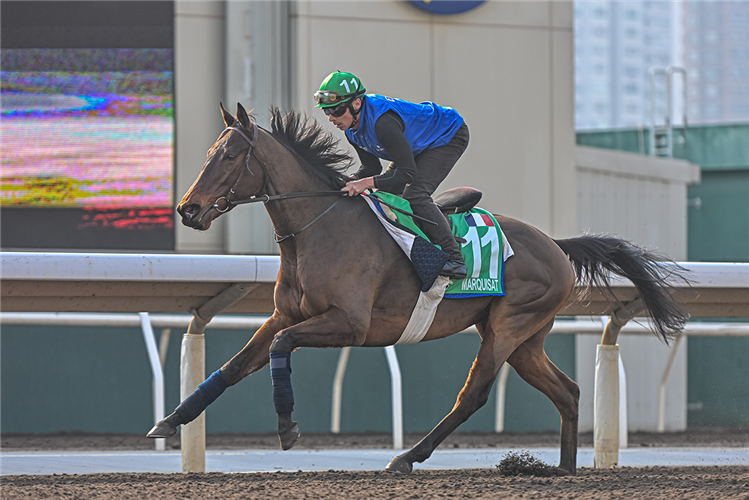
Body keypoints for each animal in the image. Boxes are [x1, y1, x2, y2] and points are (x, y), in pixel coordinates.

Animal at [148, 103, 688, 474]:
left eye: (231, 154)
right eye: (210, 153)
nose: (187, 210)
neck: (318, 228)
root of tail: (555, 244)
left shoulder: (349, 324)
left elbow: (281, 347)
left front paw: (287, 427)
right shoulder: (286, 314)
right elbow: (235, 366)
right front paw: (170, 421)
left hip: (509, 327)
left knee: (473, 395)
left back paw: (407, 456)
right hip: (525, 338)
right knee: (569, 392)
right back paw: (564, 469)